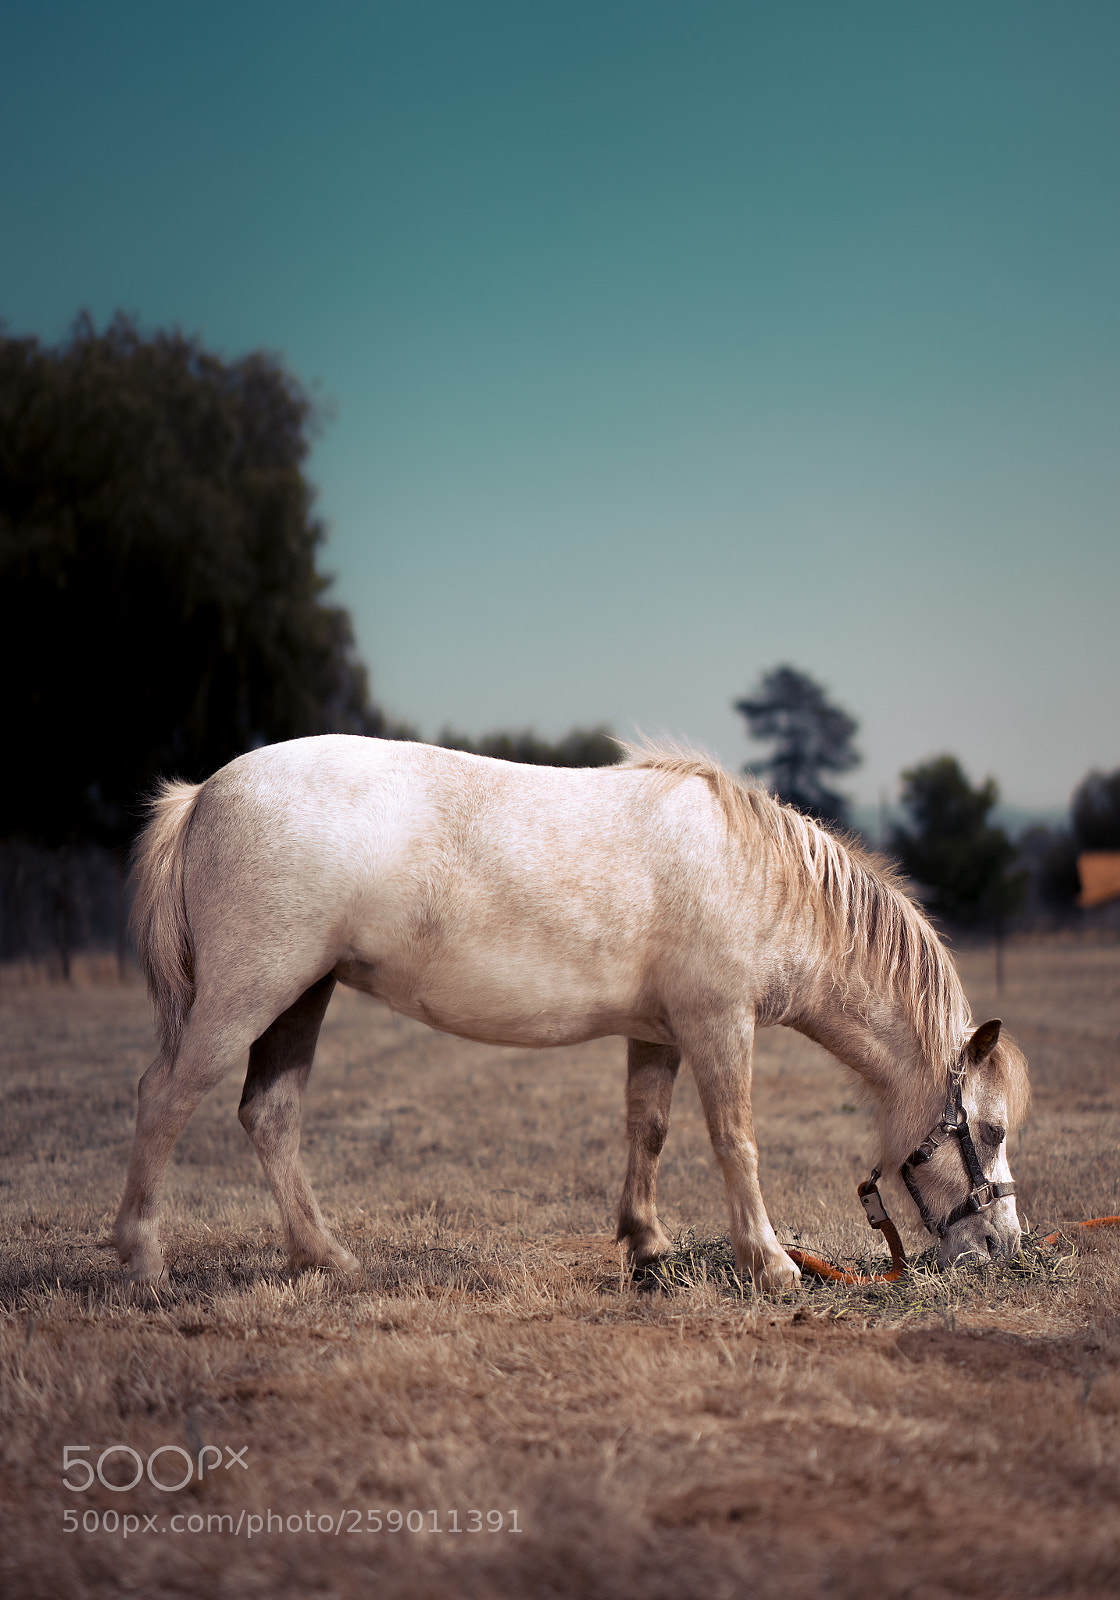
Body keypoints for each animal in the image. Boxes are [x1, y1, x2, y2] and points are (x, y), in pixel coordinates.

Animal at [114, 736, 1029, 1290]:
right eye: (988, 1131)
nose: (1006, 1248)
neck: (757, 876)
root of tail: (204, 794)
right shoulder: (717, 1024)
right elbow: (735, 1139)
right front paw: (770, 1264)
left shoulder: (660, 1035)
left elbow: (647, 1129)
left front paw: (648, 1245)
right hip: (246, 996)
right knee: (164, 1098)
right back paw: (143, 1260)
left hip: (301, 999)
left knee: (269, 1116)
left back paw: (328, 1257)